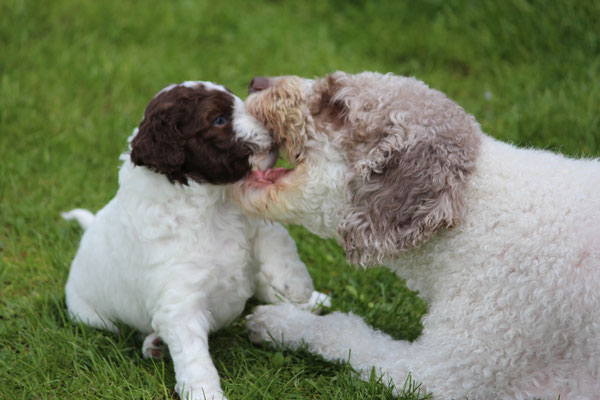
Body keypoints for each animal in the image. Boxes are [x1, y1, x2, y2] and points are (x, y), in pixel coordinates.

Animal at [63, 81, 328, 400]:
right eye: (219, 120)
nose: (274, 128)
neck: (212, 203)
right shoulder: (181, 301)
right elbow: (193, 355)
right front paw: (204, 391)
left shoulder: (251, 221)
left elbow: (278, 239)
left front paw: (298, 286)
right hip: (90, 316)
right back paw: (155, 344)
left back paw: (309, 301)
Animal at [234, 72, 600, 400]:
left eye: (336, 105)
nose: (256, 82)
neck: (472, 215)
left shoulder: (451, 366)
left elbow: (343, 328)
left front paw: (280, 322)